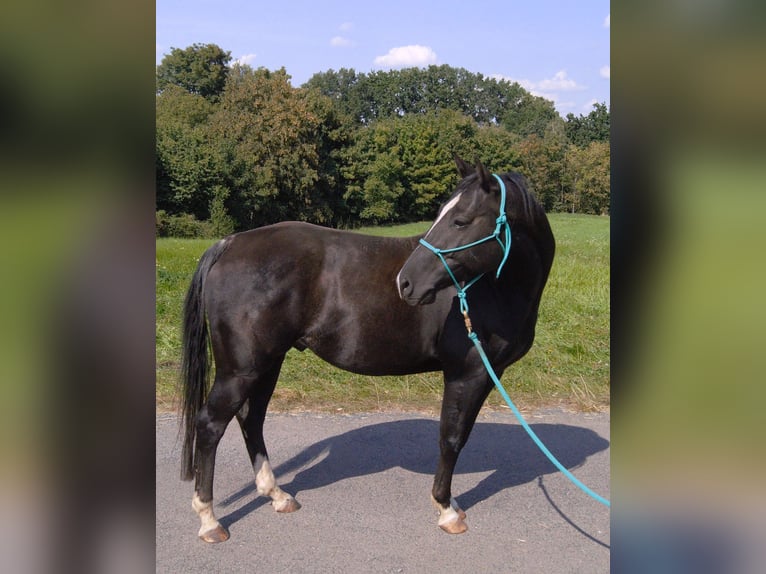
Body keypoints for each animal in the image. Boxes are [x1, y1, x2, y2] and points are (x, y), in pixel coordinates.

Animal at [179, 156, 555, 542]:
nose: (406, 283)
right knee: (210, 425)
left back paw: (277, 495)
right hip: (241, 370)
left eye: (460, 220)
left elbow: (459, 435)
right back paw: (209, 519)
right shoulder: (467, 374)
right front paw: (446, 508)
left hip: (268, 363)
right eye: (446, 215)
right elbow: (451, 438)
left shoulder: (486, 375)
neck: (494, 288)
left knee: (251, 418)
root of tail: (229, 243)